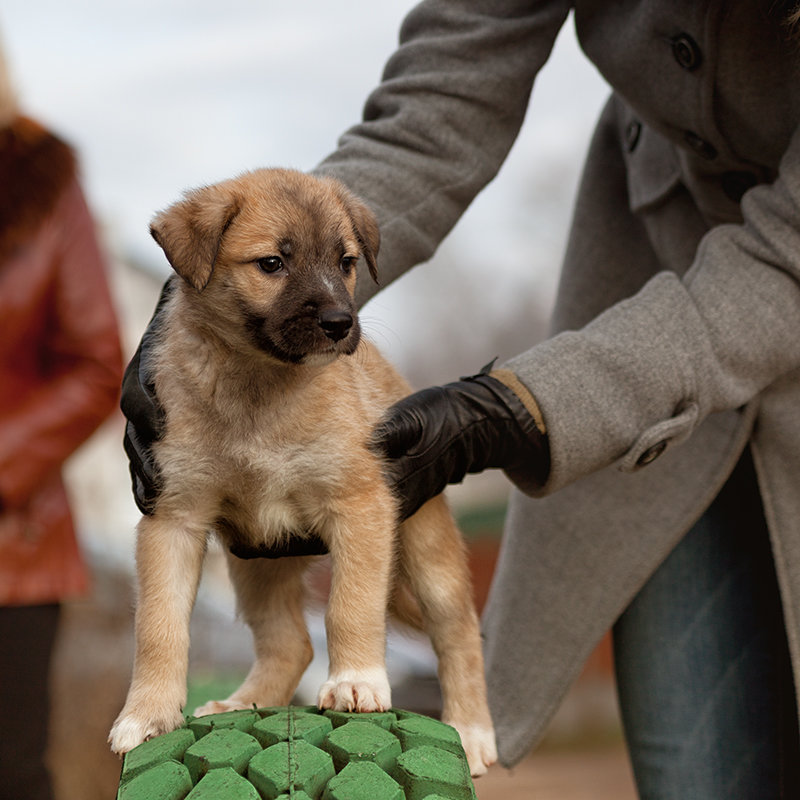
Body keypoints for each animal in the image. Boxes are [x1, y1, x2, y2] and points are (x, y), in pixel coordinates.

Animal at [106, 167, 494, 776]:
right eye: (272, 264)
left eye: (346, 262)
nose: (340, 323)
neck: (257, 389)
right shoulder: (173, 518)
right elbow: (158, 629)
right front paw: (147, 716)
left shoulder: (359, 505)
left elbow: (349, 607)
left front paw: (356, 682)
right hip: (257, 561)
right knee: (291, 642)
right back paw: (244, 703)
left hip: (428, 554)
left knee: (458, 633)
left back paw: (473, 731)